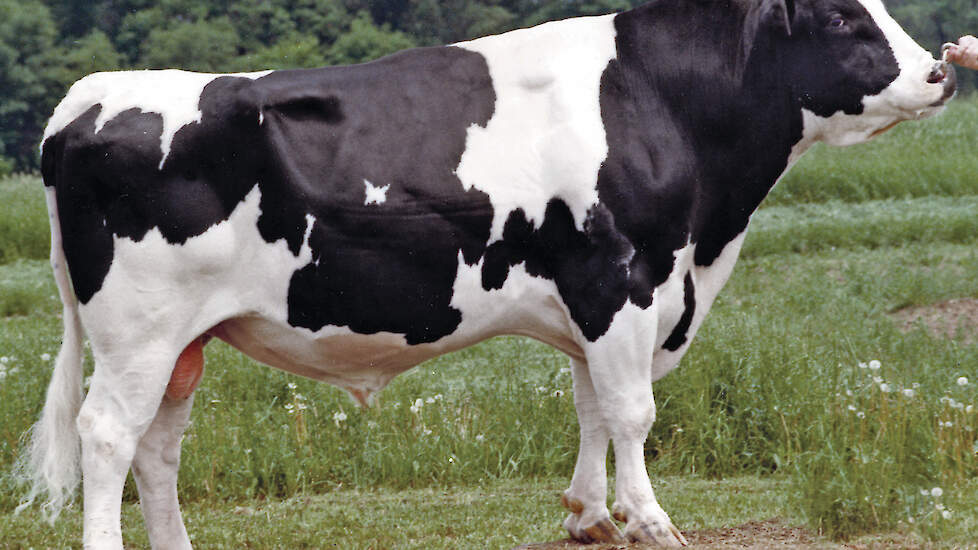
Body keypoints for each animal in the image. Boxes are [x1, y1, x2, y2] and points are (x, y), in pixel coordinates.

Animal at [17, 0, 952, 548]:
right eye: (841, 19)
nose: (942, 70)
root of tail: (84, 102)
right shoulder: (622, 277)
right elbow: (632, 410)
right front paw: (650, 519)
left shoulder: (594, 300)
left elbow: (591, 406)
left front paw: (590, 515)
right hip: (138, 330)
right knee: (109, 435)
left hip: (182, 342)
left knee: (159, 447)